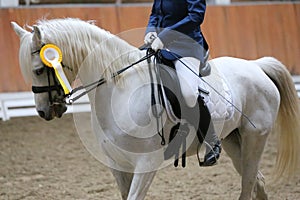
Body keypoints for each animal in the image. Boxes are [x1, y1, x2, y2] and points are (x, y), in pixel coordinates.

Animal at [11, 18, 300, 199]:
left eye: (39, 70)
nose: (44, 112)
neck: (120, 88)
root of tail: (256, 65)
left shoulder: (146, 164)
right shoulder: (118, 165)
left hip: (255, 138)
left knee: (249, 183)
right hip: (232, 139)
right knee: (257, 182)